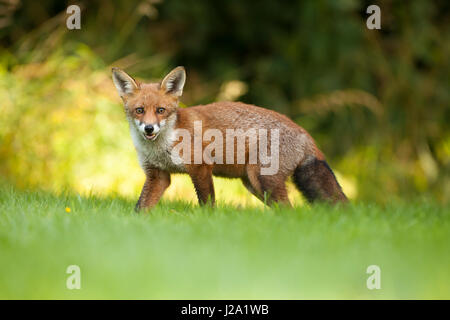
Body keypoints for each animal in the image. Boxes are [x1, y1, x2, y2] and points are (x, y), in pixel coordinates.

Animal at [112, 65, 348, 210]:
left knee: (288, 210)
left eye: (161, 110)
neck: (163, 146)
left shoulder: (200, 167)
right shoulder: (158, 175)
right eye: (140, 110)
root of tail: (307, 135)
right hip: (254, 185)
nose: (149, 129)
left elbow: (207, 203)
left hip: (262, 179)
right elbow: (140, 207)